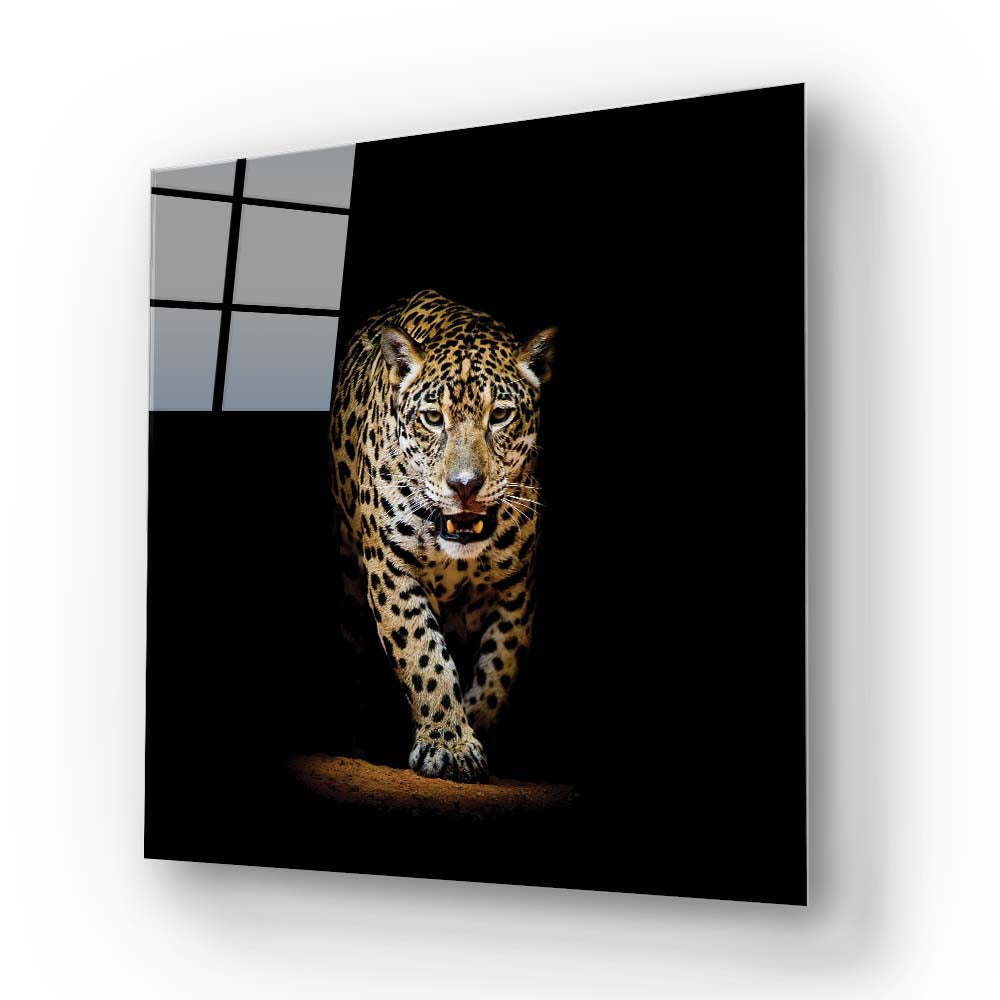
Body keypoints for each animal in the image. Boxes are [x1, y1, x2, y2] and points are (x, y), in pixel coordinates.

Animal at [329, 289, 556, 783]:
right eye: (433, 418)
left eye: (500, 415)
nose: (464, 485)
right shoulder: (391, 571)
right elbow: (423, 656)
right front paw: (448, 744)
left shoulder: (516, 591)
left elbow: (497, 671)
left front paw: (472, 731)